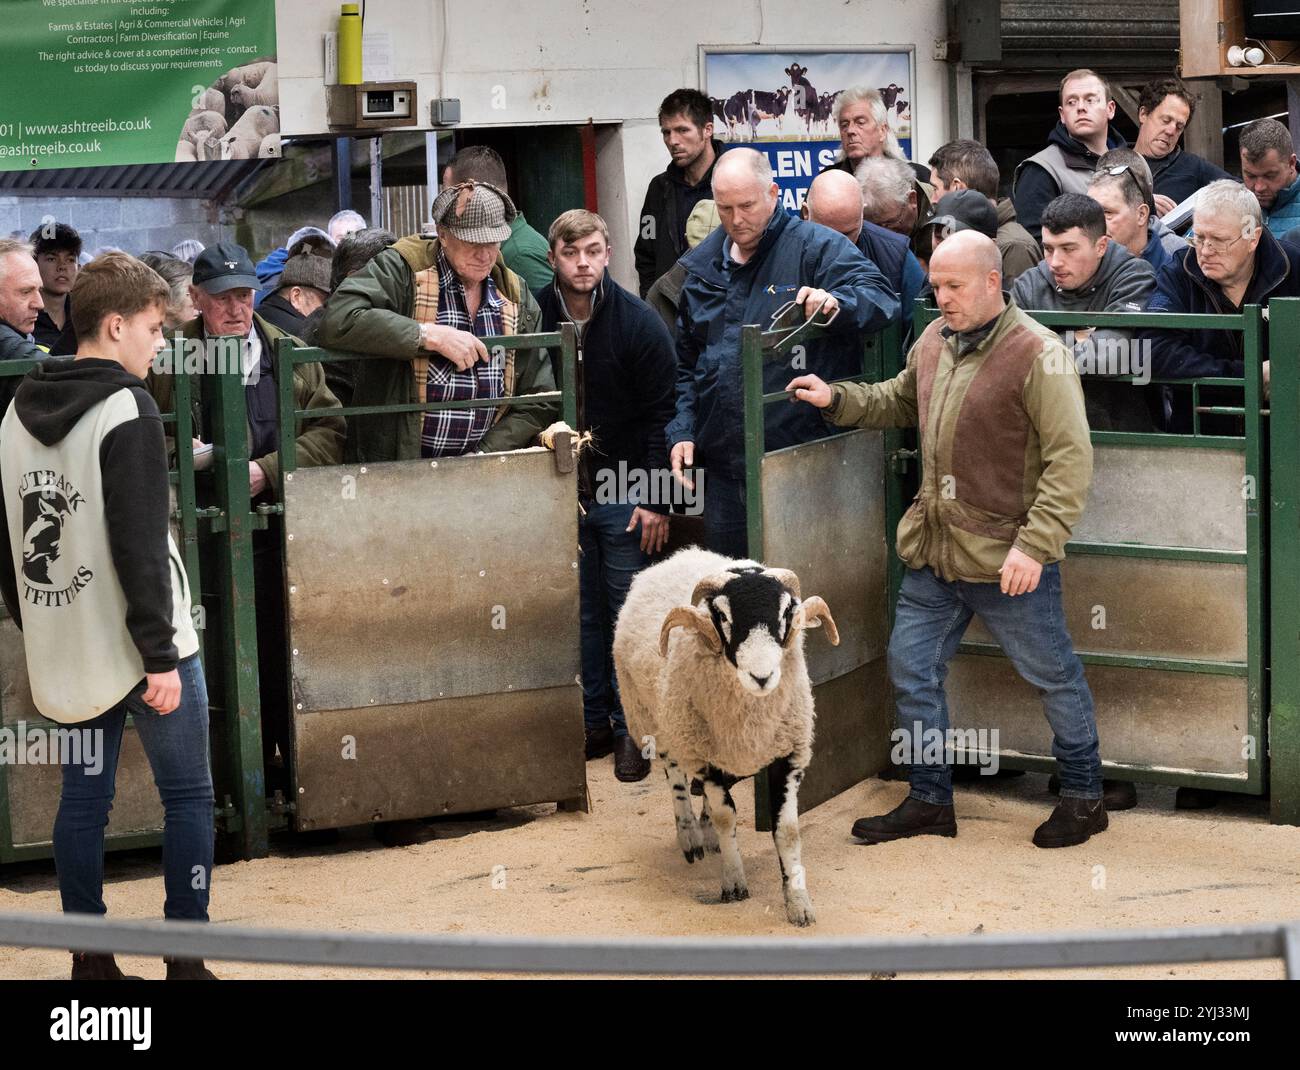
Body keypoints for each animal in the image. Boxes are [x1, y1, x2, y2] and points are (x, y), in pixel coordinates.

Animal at [611, 548, 837, 925]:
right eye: (722, 616)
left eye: (786, 612)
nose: (762, 676)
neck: (751, 721)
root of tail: (680, 553)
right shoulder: (704, 755)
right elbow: (725, 816)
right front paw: (733, 882)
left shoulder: (787, 752)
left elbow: (788, 831)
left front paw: (798, 902)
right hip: (660, 720)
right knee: (676, 778)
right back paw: (689, 834)